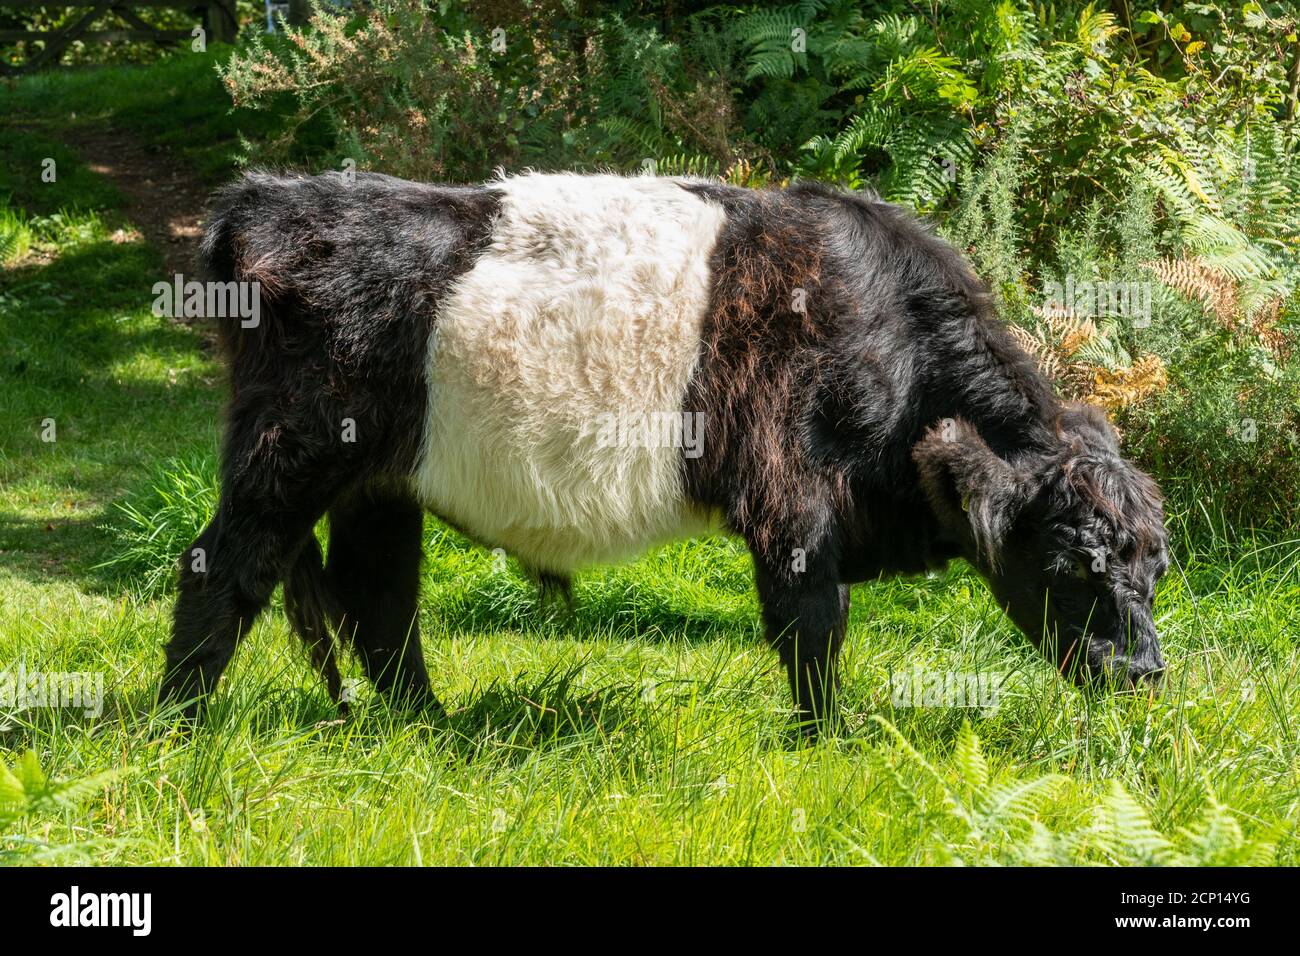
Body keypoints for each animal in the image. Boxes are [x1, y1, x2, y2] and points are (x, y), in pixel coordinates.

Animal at [159, 171, 1170, 733]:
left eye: (1156, 567)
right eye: (1068, 565)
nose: (1144, 675)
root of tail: (267, 200)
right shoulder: (792, 500)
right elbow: (814, 624)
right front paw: (828, 741)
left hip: (379, 480)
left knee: (380, 600)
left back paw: (429, 732)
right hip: (292, 450)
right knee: (225, 567)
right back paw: (177, 731)